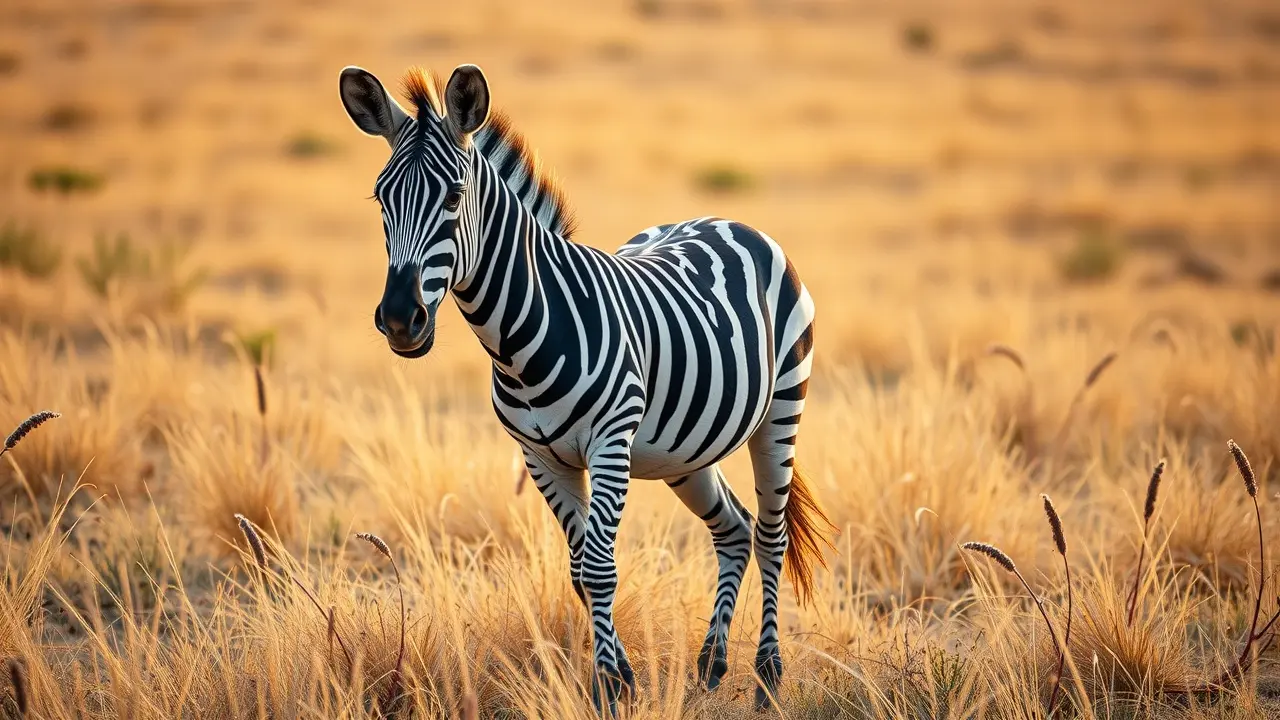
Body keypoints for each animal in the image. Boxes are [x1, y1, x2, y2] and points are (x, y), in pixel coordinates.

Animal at [339, 62, 833, 714]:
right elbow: (578, 571)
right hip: (685, 451)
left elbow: (598, 568)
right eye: (380, 199)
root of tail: (728, 220)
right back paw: (711, 664)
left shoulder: (611, 442)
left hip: (781, 409)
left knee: (772, 534)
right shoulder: (540, 456)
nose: (400, 319)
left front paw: (606, 688)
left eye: (453, 196)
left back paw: (767, 677)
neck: (522, 339)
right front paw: (620, 679)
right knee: (734, 528)